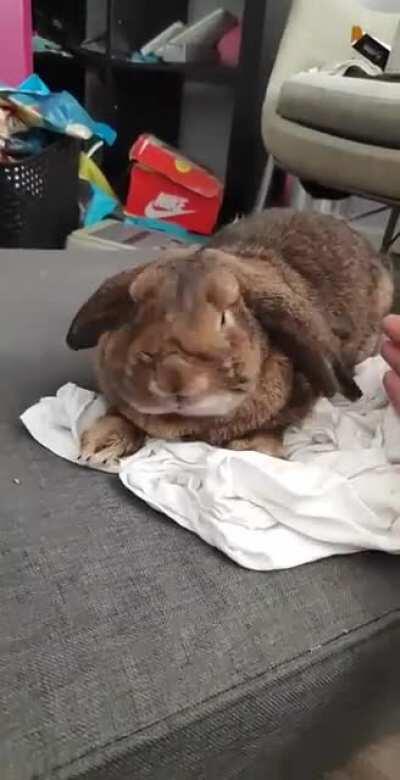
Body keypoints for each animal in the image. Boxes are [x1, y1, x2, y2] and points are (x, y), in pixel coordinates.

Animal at [66, 209, 393, 465]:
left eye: (225, 317)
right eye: (135, 312)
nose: (174, 375)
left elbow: (277, 424)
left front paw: (251, 448)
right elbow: (121, 415)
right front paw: (100, 444)